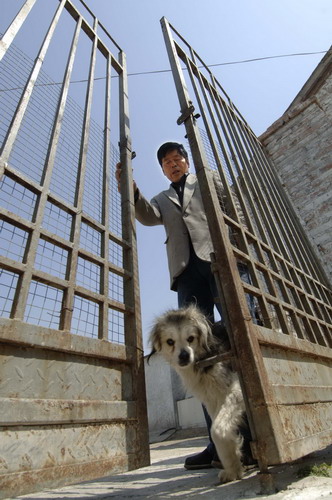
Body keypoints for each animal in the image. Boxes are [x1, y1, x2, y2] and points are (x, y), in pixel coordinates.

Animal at [148, 304, 252, 484]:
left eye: (190, 338)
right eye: (170, 342)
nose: (184, 355)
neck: (205, 355)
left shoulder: (236, 389)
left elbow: (217, 430)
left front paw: (232, 465)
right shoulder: (212, 398)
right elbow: (220, 427)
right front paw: (233, 467)